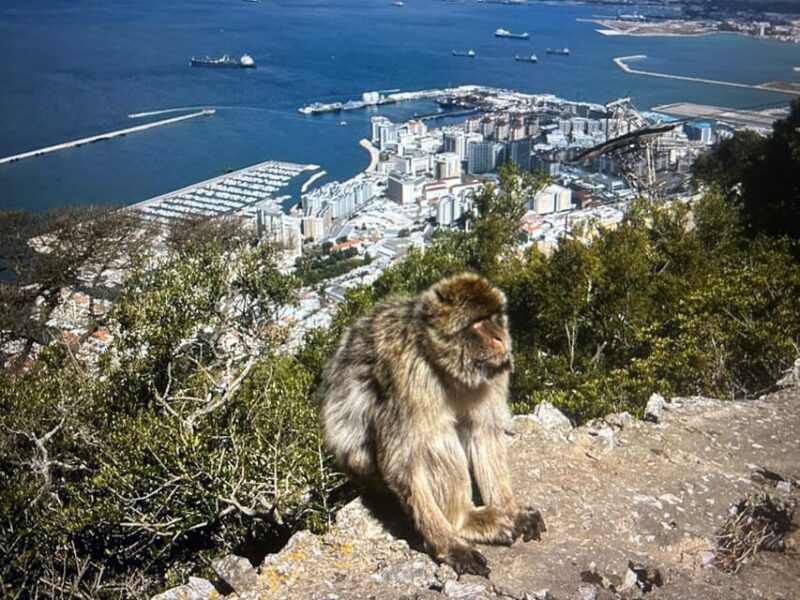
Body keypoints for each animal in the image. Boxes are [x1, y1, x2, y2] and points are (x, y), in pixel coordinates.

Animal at [319, 272, 545, 577]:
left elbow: (485, 433)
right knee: (437, 439)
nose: (501, 338)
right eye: (477, 322)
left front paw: (514, 510)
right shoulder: (408, 378)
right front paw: (450, 545)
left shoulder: (493, 374)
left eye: (494, 317)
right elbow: (402, 464)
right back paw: (464, 520)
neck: (441, 365)